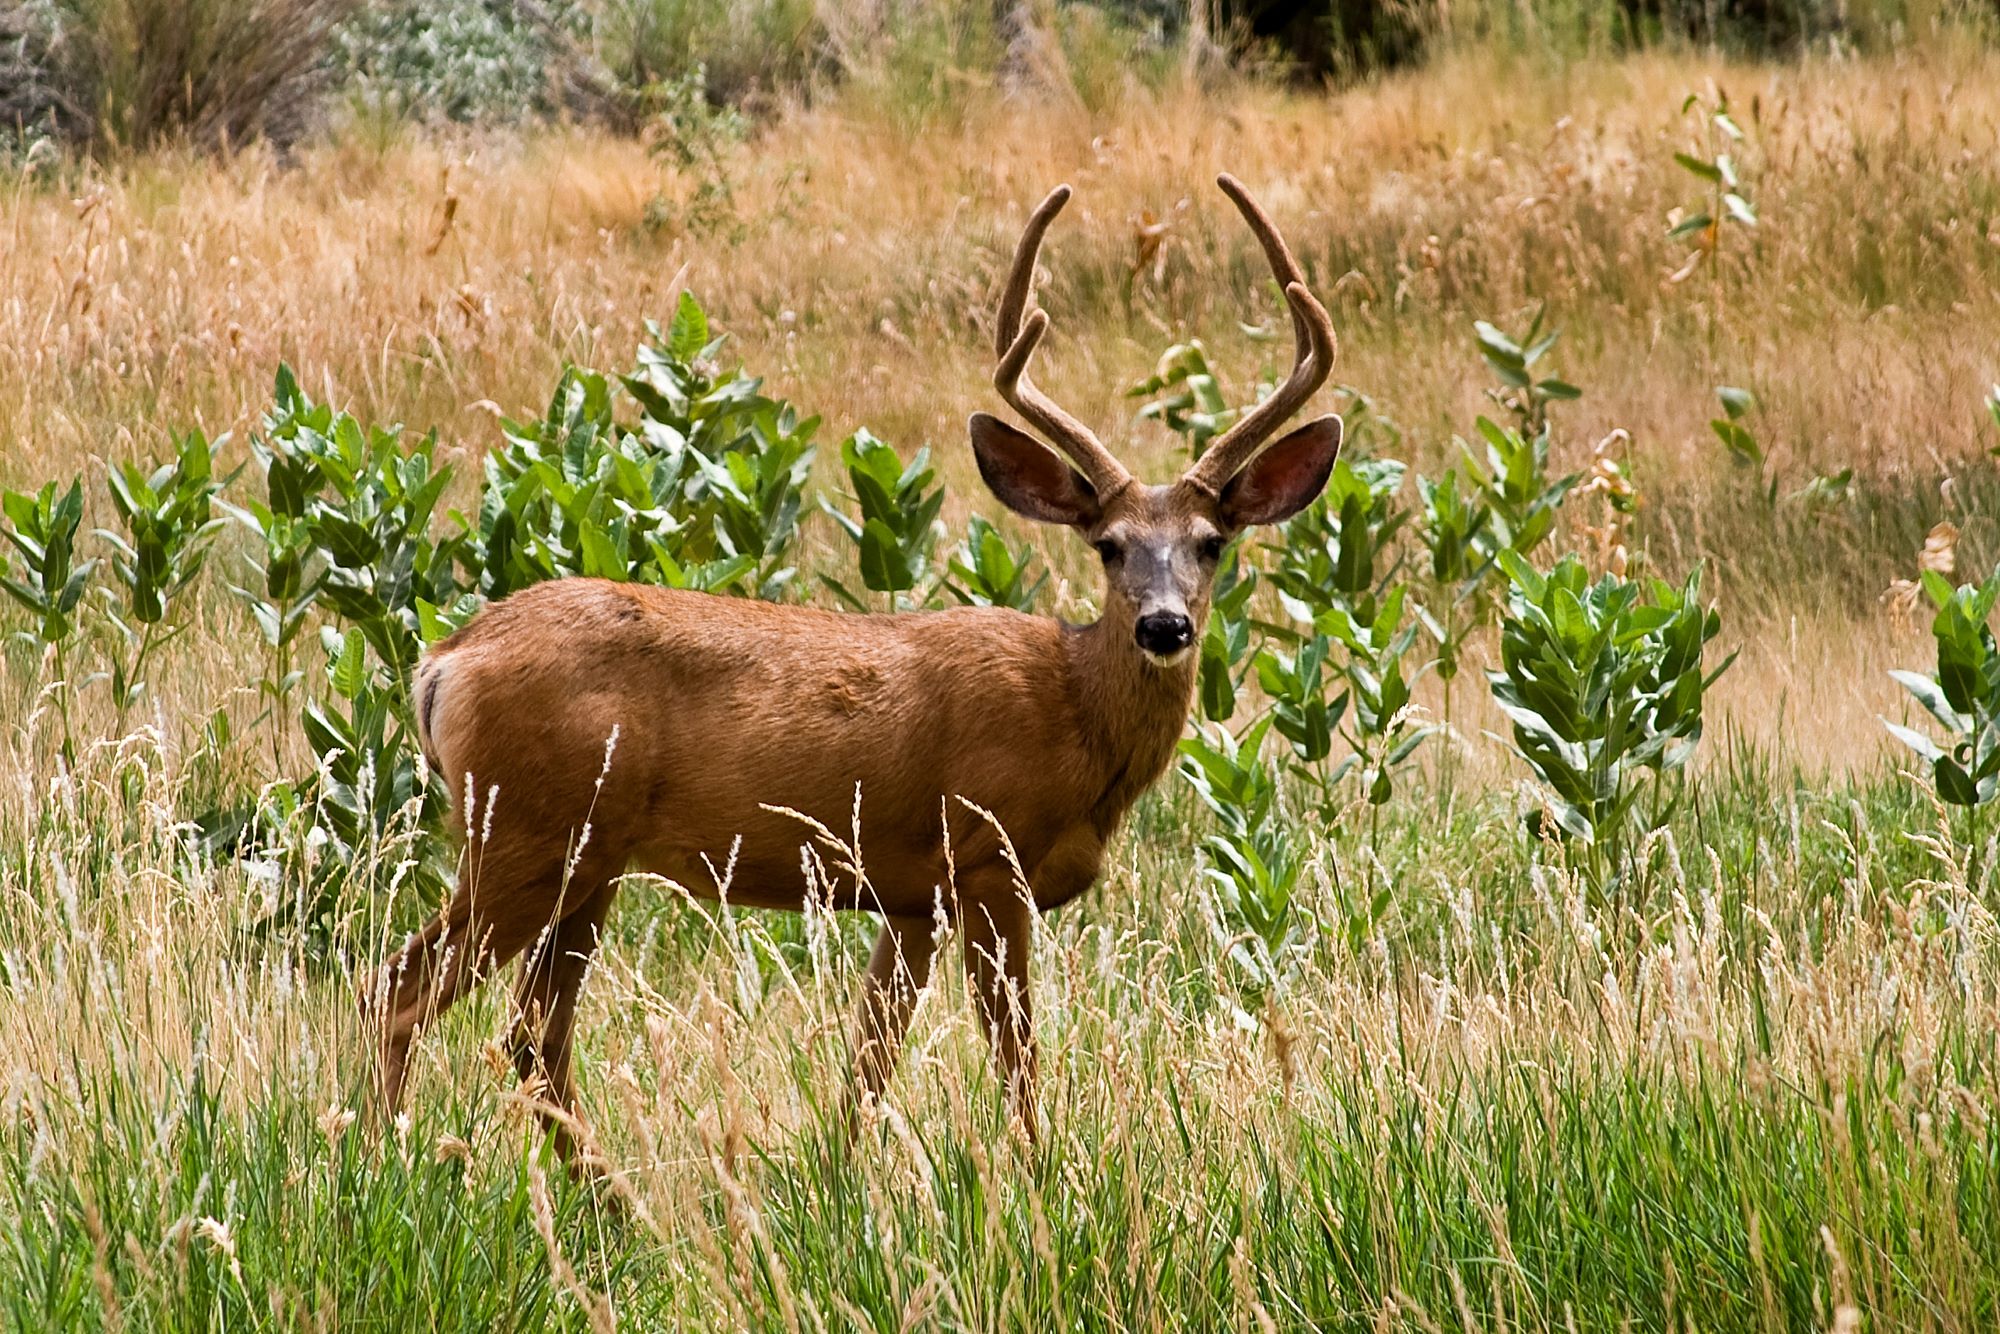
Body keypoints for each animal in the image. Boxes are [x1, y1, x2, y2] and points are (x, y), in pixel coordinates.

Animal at [376, 172, 1344, 1144]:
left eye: (1212, 543)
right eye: (1108, 546)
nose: (1165, 627)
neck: (1074, 711)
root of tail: (446, 660)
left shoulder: (912, 897)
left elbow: (868, 1064)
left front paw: (840, 1175)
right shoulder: (986, 860)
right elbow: (1017, 1064)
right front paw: (1040, 1173)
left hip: (587, 856)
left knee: (534, 1033)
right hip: (525, 833)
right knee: (404, 987)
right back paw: (381, 1151)